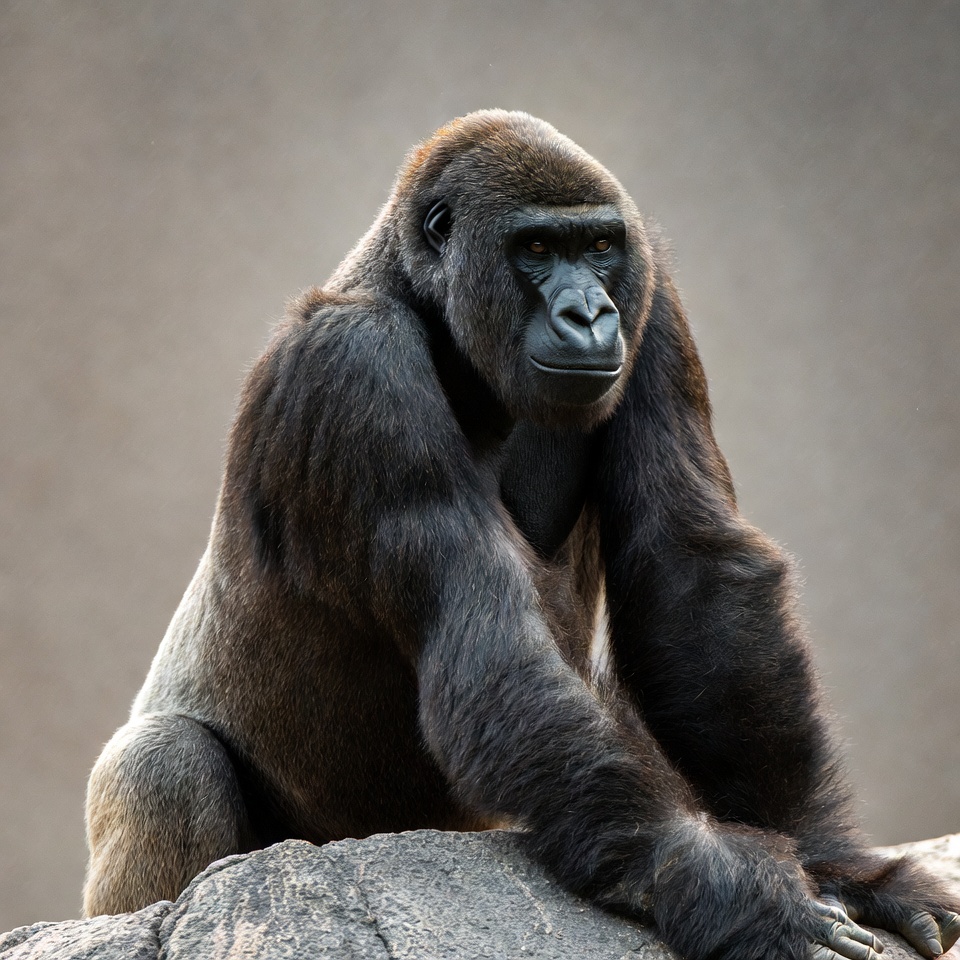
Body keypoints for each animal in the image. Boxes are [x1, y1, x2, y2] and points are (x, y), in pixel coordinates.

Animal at [84, 111, 960, 960]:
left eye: (599, 248)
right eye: (535, 249)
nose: (589, 314)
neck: (418, 295)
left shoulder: (654, 303)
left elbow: (692, 572)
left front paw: (836, 861)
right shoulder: (352, 367)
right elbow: (491, 633)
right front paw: (724, 890)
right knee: (164, 762)